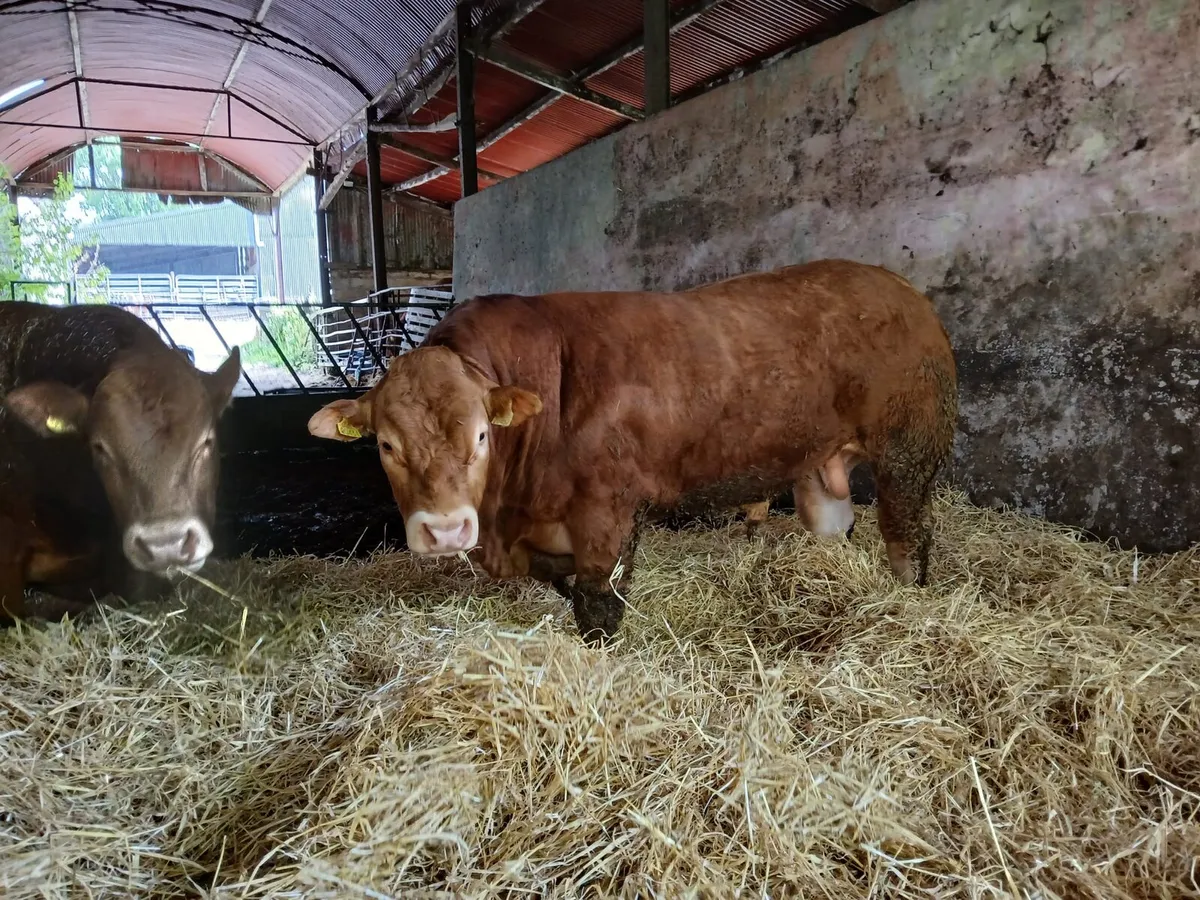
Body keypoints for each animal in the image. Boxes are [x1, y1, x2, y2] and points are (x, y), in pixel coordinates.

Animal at [307, 260, 958, 644]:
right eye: (386, 444)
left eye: (482, 435)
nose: (444, 530)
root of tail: (900, 288)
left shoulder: (607, 510)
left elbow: (599, 604)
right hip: (821, 469)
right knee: (836, 523)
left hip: (909, 450)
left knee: (909, 534)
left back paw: (912, 602)